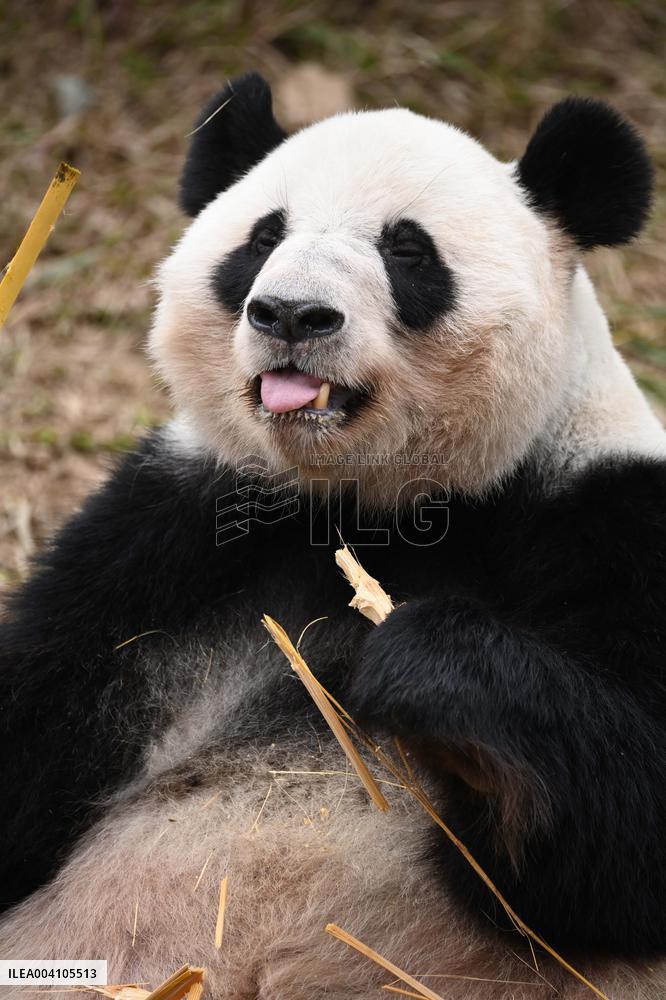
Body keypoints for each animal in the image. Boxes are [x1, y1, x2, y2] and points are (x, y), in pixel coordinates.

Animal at [1, 71, 665, 1000]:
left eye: (408, 250)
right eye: (262, 237)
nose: (289, 315)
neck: (372, 505)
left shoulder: (609, 516)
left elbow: (620, 843)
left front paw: (425, 666)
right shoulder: (169, 534)